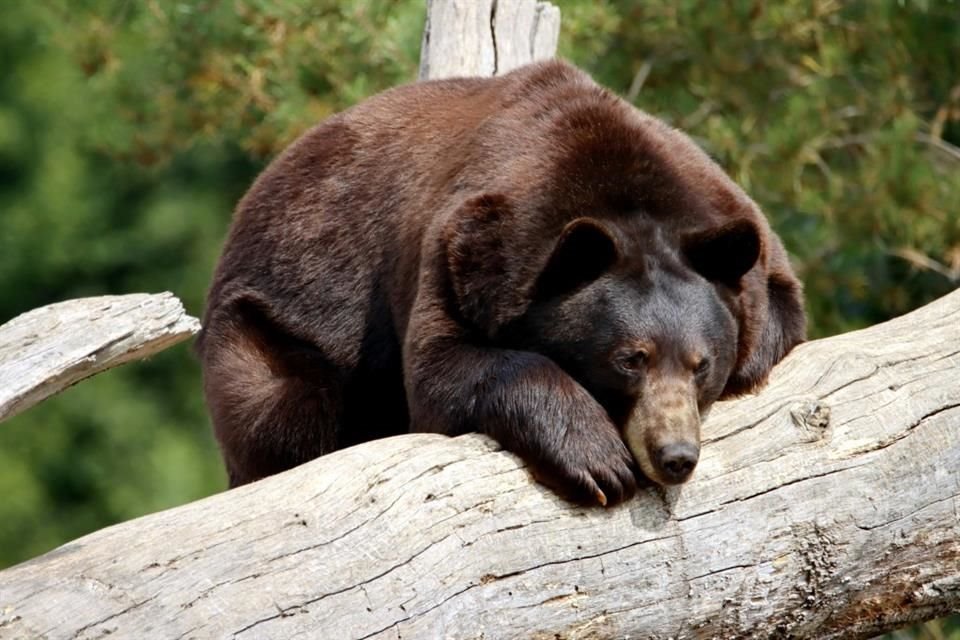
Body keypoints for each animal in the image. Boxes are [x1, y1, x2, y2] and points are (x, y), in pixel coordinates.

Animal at [199, 58, 808, 504]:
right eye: (630, 358)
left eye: (701, 364)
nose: (676, 456)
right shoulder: (463, 248)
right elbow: (445, 367)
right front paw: (596, 458)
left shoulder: (737, 232)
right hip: (272, 320)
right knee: (283, 406)